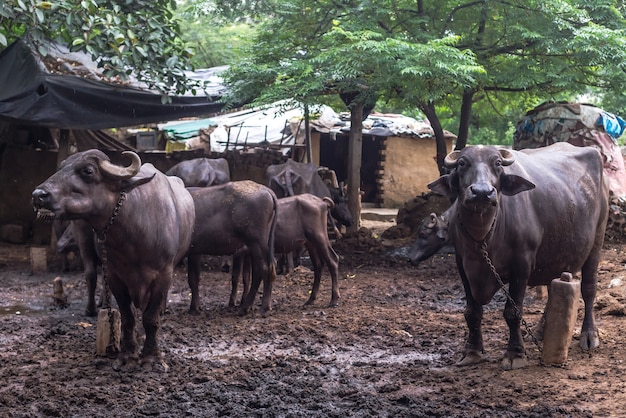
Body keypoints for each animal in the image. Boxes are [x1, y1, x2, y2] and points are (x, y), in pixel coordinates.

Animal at [31, 149, 193, 370]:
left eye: (88, 171)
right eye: (61, 167)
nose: (38, 195)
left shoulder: (164, 274)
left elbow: (150, 317)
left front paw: (151, 357)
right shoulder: (116, 276)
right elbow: (128, 317)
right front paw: (128, 355)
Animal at [184, 181, 274, 316]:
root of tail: (265, 189)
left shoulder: (192, 252)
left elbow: (192, 278)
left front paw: (194, 307)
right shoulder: (194, 252)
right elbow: (195, 277)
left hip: (255, 242)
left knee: (264, 269)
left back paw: (262, 307)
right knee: (261, 271)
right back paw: (247, 306)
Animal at [426, 143, 608, 370]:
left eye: (497, 163)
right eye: (462, 163)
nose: (482, 192)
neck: (483, 238)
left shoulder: (522, 265)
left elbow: (513, 312)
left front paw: (515, 354)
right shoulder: (462, 265)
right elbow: (472, 311)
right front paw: (471, 351)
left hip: (597, 239)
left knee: (589, 288)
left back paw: (589, 335)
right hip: (555, 254)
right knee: (552, 288)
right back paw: (541, 330)